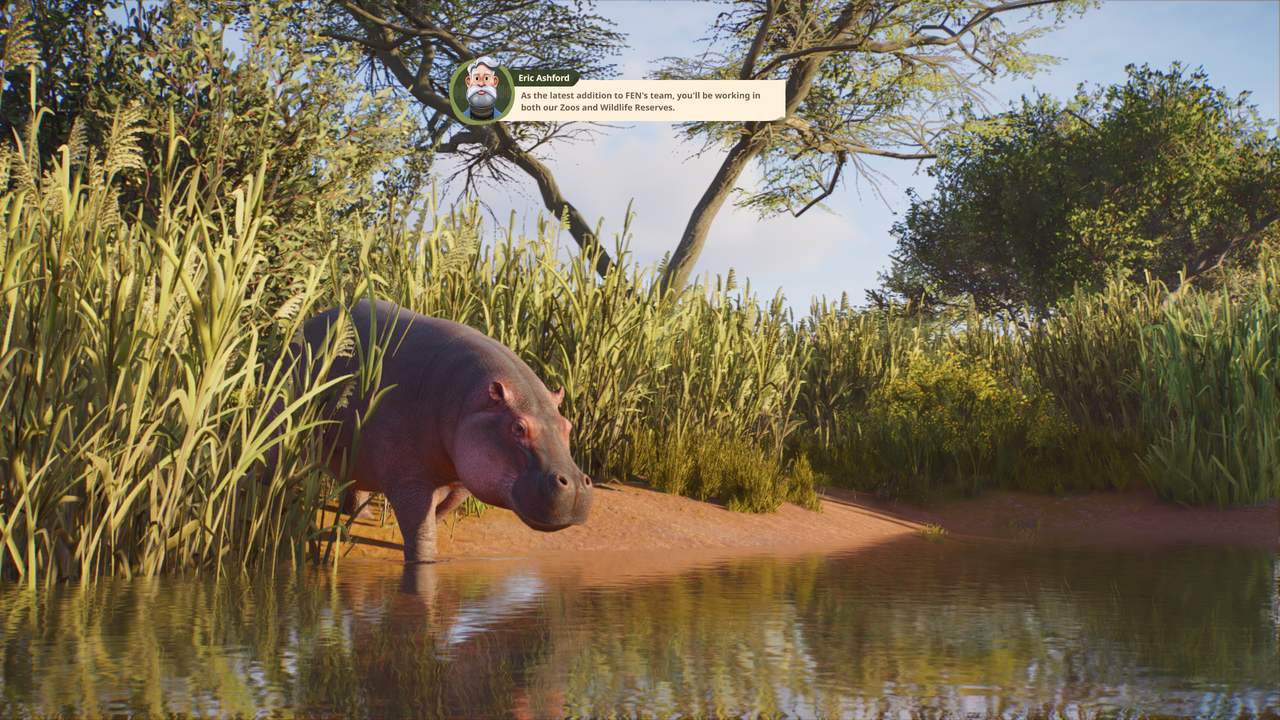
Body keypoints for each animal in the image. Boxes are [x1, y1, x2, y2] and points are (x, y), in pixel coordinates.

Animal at [267, 298, 593, 561]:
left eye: (567, 425)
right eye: (518, 426)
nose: (577, 485)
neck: (470, 399)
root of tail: (305, 326)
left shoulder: (462, 480)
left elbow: (439, 514)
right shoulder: (408, 478)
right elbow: (419, 527)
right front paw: (424, 560)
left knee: (353, 478)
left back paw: (362, 514)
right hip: (280, 424)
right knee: (270, 467)